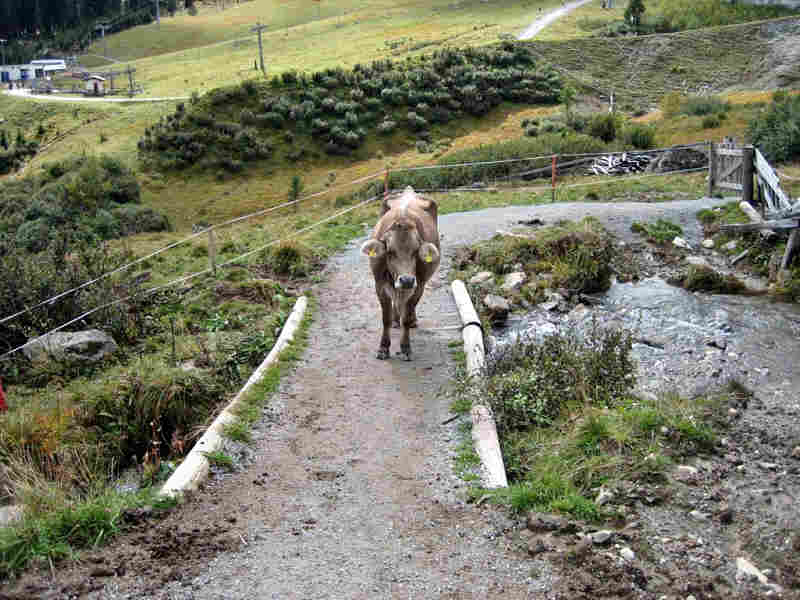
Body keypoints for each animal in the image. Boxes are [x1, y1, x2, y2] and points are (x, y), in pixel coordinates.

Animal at [360, 185, 440, 358]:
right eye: (390, 252)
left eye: (416, 251)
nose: (407, 280)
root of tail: (409, 191)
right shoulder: (379, 285)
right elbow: (386, 318)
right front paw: (383, 347)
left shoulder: (419, 285)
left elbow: (407, 317)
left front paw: (405, 347)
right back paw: (396, 320)